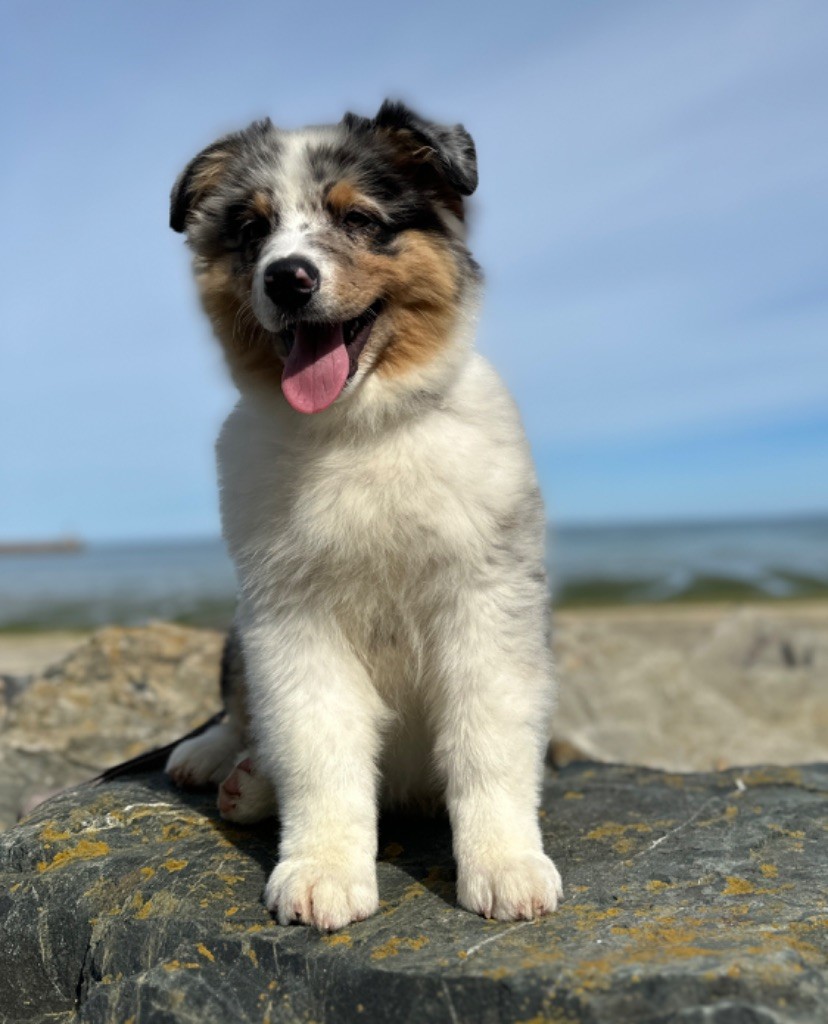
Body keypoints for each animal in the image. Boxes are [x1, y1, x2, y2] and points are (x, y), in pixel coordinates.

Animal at [162, 101, 560, 929]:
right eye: (252, 229)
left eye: (357, 218)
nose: (287, 278)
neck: (358, 432)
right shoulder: (290, 616)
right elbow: (316, 746)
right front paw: (322, 870)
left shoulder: (487, 600)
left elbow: (488, 741)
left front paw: (506, 864)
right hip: (240, 629)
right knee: (243, 708)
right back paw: (227, 766)